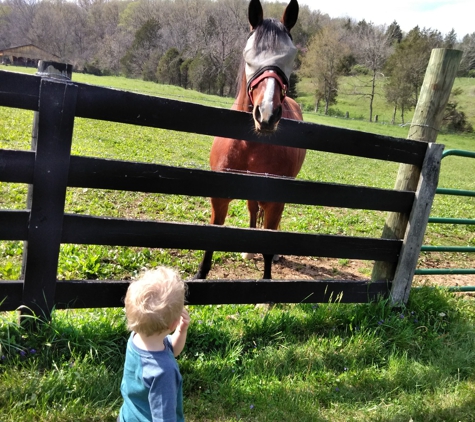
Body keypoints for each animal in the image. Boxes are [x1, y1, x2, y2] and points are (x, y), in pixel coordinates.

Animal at [195, 0, 306, 280]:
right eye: (249, 55)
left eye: (290, 57)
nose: (266, 114)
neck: (249, 144)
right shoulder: (219, 198)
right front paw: (199, 276)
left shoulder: (276, 200)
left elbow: (268, 241)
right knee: (253, 209)